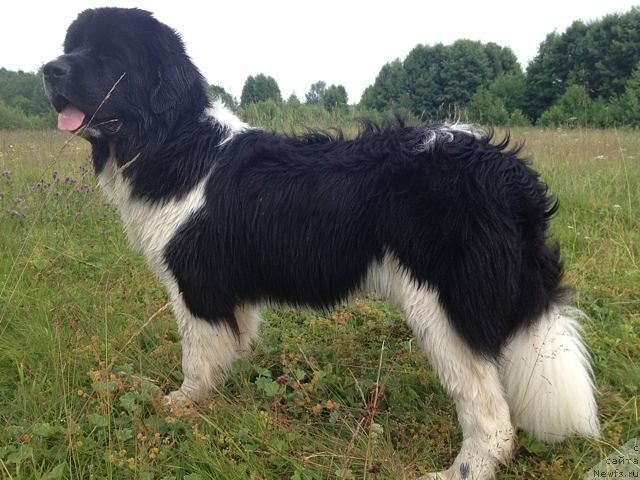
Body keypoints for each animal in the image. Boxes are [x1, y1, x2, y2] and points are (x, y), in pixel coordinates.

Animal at [45, 8, 600, 480]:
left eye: (109, 56)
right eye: (73, 46)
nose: (49, 70)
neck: (174, 141)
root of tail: (503, 170)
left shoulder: (196, 286)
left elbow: (197, 359)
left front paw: (182, 406)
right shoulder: (229, 292)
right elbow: (230, 350)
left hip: (442, 305)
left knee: (489, 414)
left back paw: (459, 470)